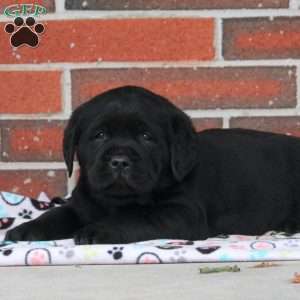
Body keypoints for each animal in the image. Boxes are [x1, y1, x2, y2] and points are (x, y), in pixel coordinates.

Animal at [5, 85, 300, 244]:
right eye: (99, 135)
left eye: (147, 138)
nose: (119, 161)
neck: (117, 200)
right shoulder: (81, 205)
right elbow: (57, 214)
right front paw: (24, 230)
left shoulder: (181, 212)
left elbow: (135, 216)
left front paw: (98, 229)